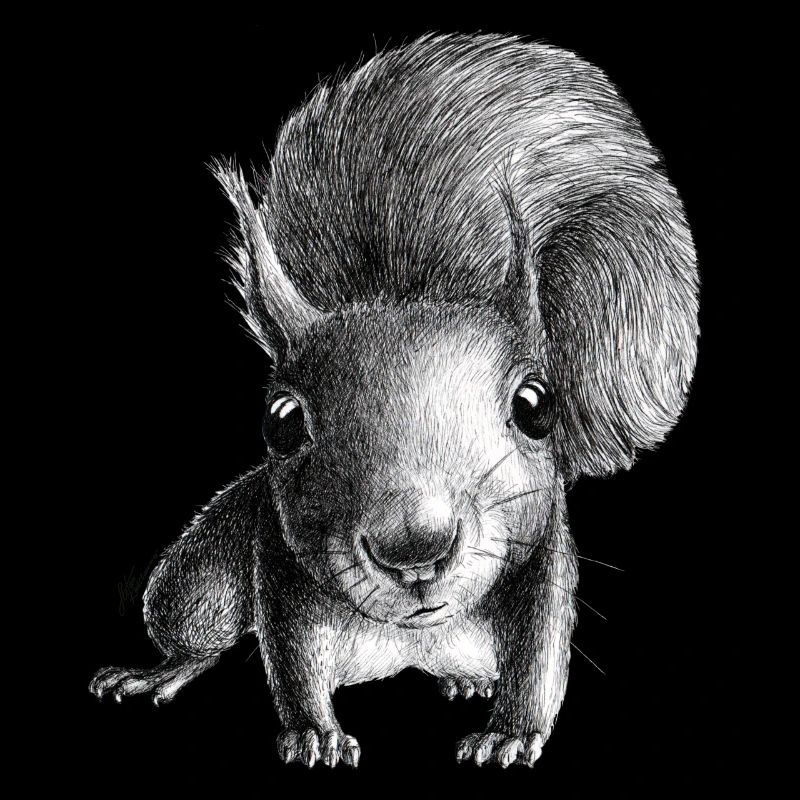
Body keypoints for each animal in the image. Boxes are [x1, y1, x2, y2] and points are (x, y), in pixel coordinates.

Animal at [89, 33, 698, 769]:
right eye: (280, 421)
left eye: (536, 407)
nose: (415, 547)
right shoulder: (278, 559)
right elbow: (291, 658)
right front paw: (315, 734)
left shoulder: (544, 558)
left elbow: (540, 657)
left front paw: (510, 735)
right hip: (192, 585)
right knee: (197, 633)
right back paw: (156, 672)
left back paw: (467, 681)